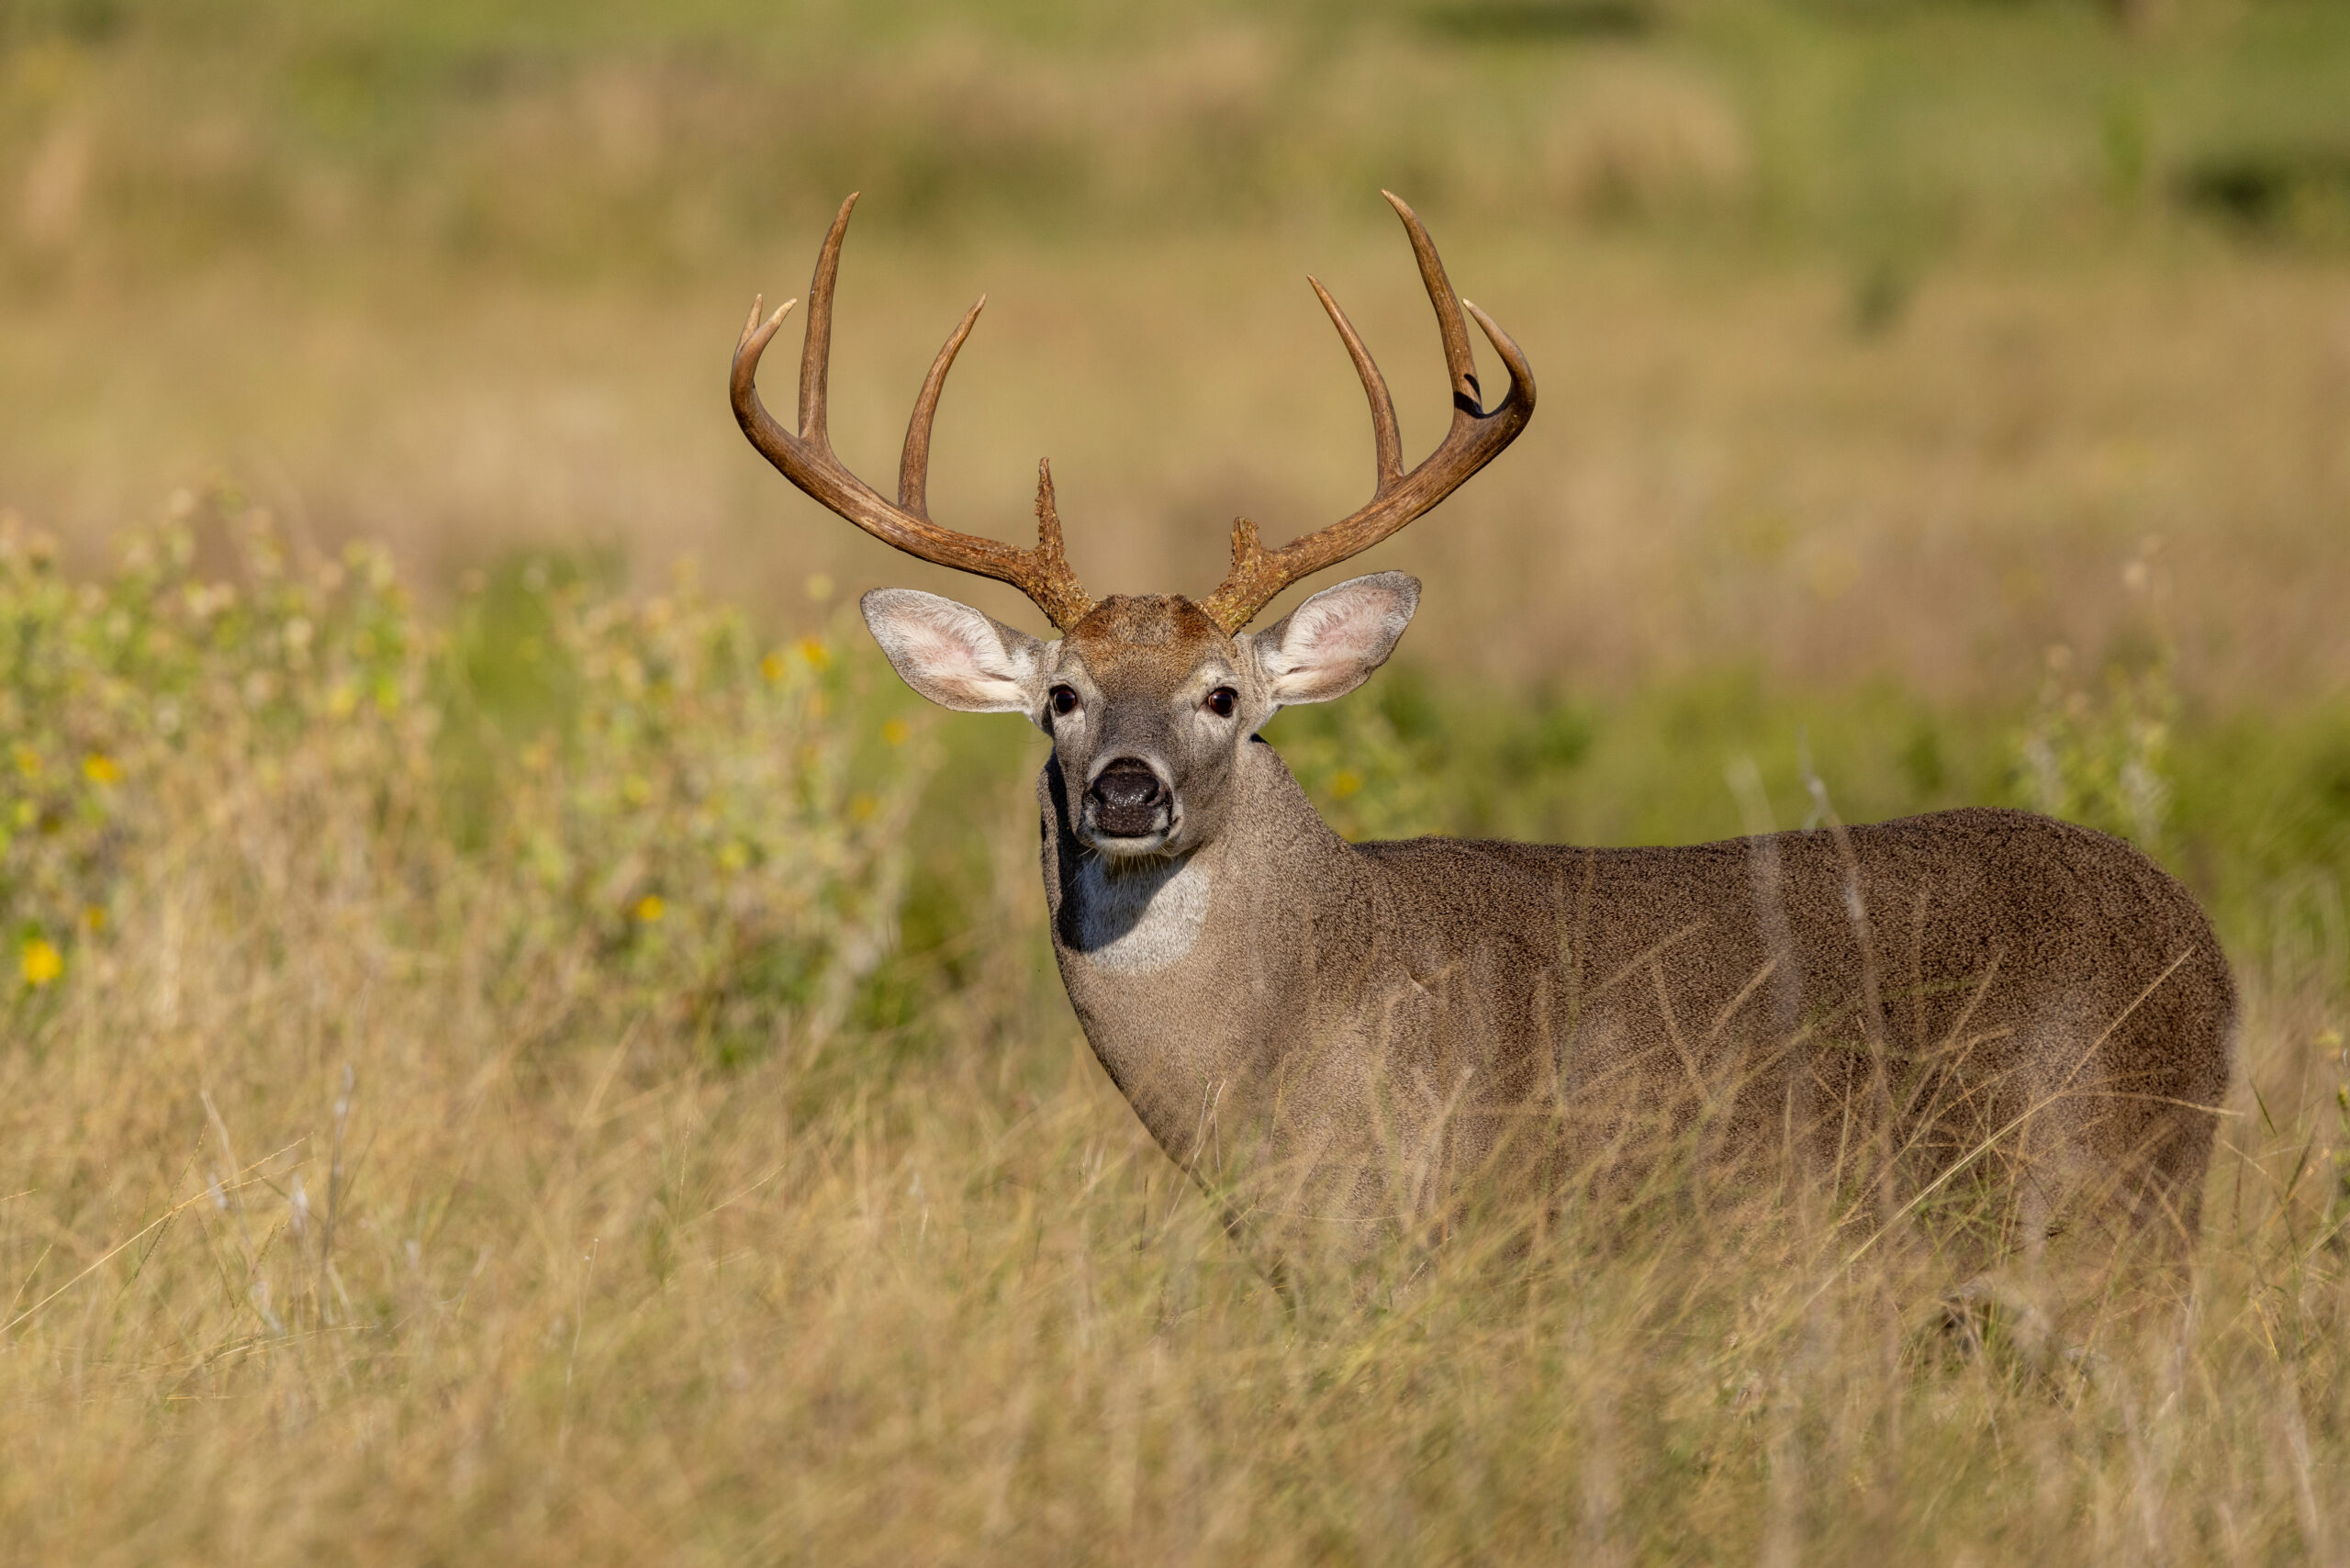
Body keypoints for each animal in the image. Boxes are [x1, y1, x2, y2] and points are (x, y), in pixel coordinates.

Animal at [729, 192, 2236, 1296]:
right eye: (1062, 696)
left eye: (1223, 696)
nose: (1127, 787)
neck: (1284, 1048)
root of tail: (2214, 963)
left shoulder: (1452, 1234)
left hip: (2107, 1192)